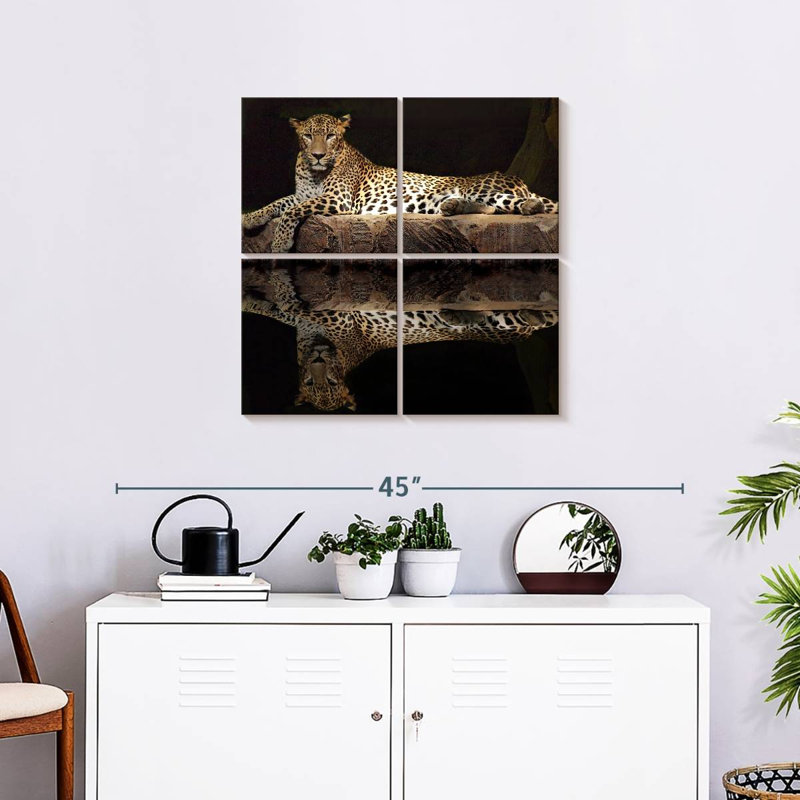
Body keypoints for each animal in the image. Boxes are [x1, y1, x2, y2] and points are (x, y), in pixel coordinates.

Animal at [241, 113, 558, 253]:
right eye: (308, 136)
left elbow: (291, 211)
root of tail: (518, 178)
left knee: (513, 205)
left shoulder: (338, 200)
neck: (314, 171)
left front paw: (280, 242)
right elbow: (279, 203)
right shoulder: (301, 194)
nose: (318, 155)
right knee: (492, 208)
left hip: (483, 188)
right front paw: (250, 218)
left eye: (331, 136)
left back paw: (528, 206)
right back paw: (453, 207)